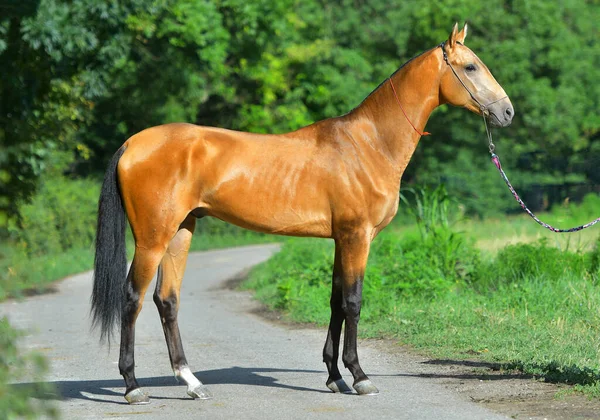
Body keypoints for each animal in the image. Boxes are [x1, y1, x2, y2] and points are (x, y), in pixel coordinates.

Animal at [92, 23, 510, 404]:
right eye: (471, 66)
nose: (507, 112)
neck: (368, 143)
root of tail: (133, 143)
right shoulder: (357, 236)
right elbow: (354, 302)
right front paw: (360, 377)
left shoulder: (343, 239)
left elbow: (337, 302)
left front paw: (335, 377)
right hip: (152, 238)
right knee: (132, 298)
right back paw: (132, 387)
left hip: (181, 231)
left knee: (167, 300)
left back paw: (192, 383)